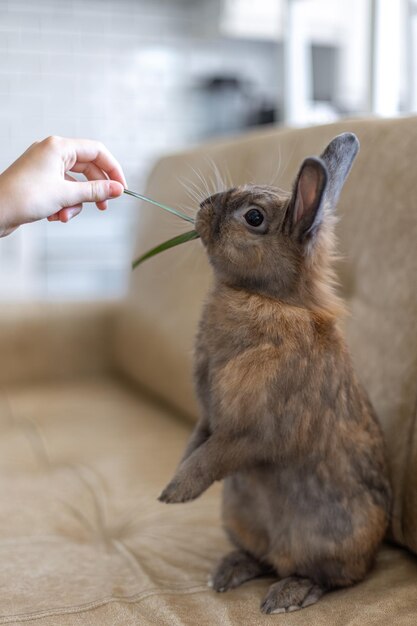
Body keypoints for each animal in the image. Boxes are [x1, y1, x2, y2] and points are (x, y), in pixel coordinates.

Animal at [158, 134, 390, 612]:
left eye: (253, 217)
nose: (204, 206)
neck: (272, 299)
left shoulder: (251, 432)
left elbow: (213, 456)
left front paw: (176, 492)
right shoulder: (208, 417)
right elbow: (196, 442)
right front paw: (175, 475)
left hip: (328, 540)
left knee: (328, 577)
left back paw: (288, 594)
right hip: (239, 515)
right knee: (262, 558)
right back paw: (229, 571)